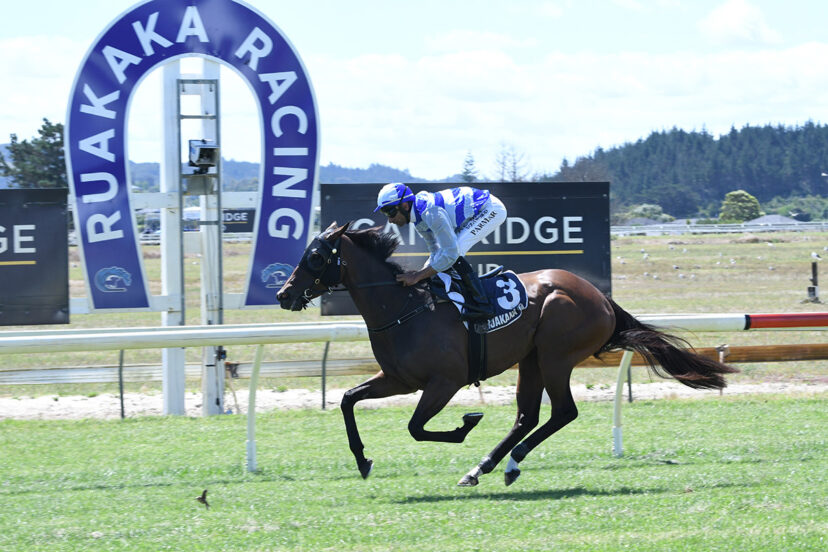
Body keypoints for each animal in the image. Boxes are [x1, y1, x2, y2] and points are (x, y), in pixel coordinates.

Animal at [278, 222, 736, 486]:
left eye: (315, 256)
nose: (283, 294)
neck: (404, 308)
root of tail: (601, 298)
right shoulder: (398, 379)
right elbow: (347, 399)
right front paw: (362, 460)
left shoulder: (445, 382)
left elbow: (416, 427)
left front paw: (466, 423)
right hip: (530, 360)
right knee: (527, 416)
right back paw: (483, 468)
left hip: (555, 354)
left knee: (562, 412)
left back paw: (507, 464)